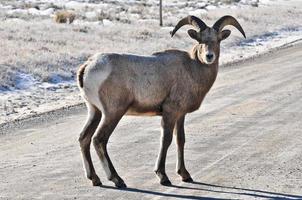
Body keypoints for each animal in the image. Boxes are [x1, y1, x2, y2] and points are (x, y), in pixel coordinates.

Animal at [77, 14, 245, 188]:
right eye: (200, 40)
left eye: (218, 40)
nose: (209, 56)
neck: (192, 69)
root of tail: (87, 67)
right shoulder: (170, 113)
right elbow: (166, 140)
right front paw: (163, 177)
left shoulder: (180, 115)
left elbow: (180, 140)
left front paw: (185, 175)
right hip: (112, 113)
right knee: (99, 140)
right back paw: (117, 180)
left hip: (94, 111)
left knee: (84, 138)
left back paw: (95, 179)